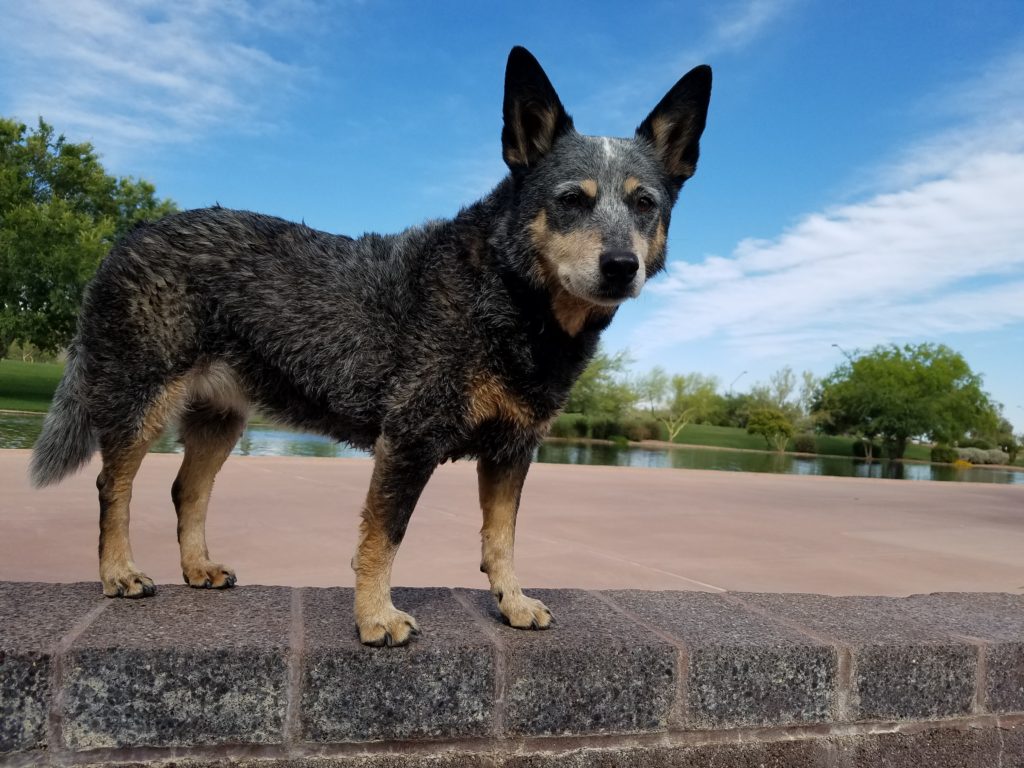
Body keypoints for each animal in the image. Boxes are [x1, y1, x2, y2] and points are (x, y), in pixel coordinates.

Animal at [28, 48, 708, 647]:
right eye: (571, 199)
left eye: (644, 203)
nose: (621, 266)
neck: (509, 298)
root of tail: (128, 235)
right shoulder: (409, 438)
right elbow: (385, 537)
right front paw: (376, 618)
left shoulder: (512, 449)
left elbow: (502, 537)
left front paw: (512, 602)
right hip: (139, 397)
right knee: (113, 488)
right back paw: (118, 572)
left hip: (219, 418)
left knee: (186, 491)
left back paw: (198, 567)